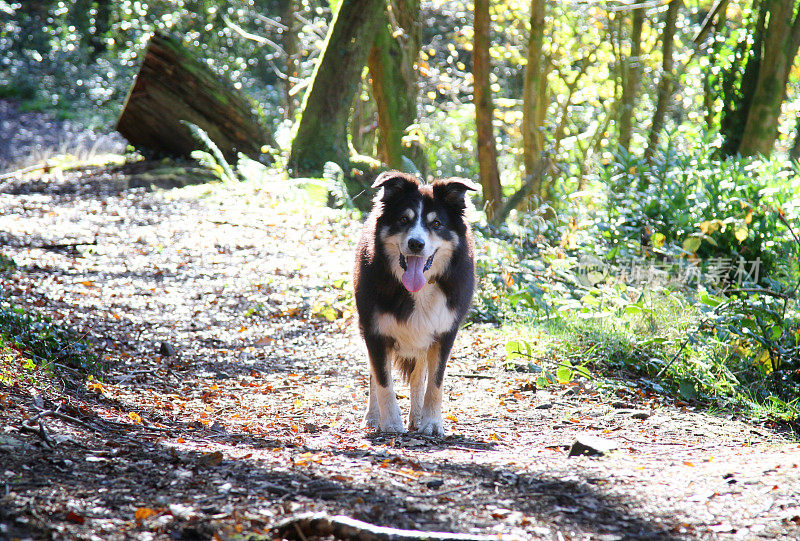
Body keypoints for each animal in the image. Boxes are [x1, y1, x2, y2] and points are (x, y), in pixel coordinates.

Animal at [354, 171, 476, 436]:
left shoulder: (444, 332)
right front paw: (390, 423)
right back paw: (373, 416)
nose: (416, 244)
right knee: (375, 375)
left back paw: (417, 417)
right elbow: (382, 380)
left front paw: (431, 423)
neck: (417, 290)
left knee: (419, 374)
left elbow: (435, 382)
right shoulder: (375, 331)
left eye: (436, 223)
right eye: (403, 219)